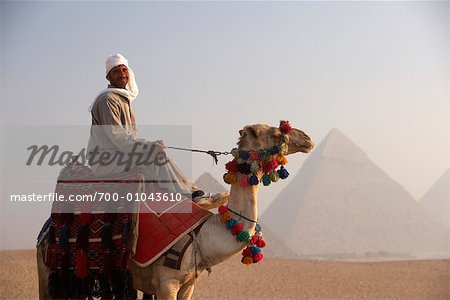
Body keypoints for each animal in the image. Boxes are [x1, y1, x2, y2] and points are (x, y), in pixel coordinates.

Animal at [37, 122, 312, 300]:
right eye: (277, 132)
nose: (307, 138)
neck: (203, 235)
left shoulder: (189, 285)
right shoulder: (166, 282)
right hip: (51, 271)